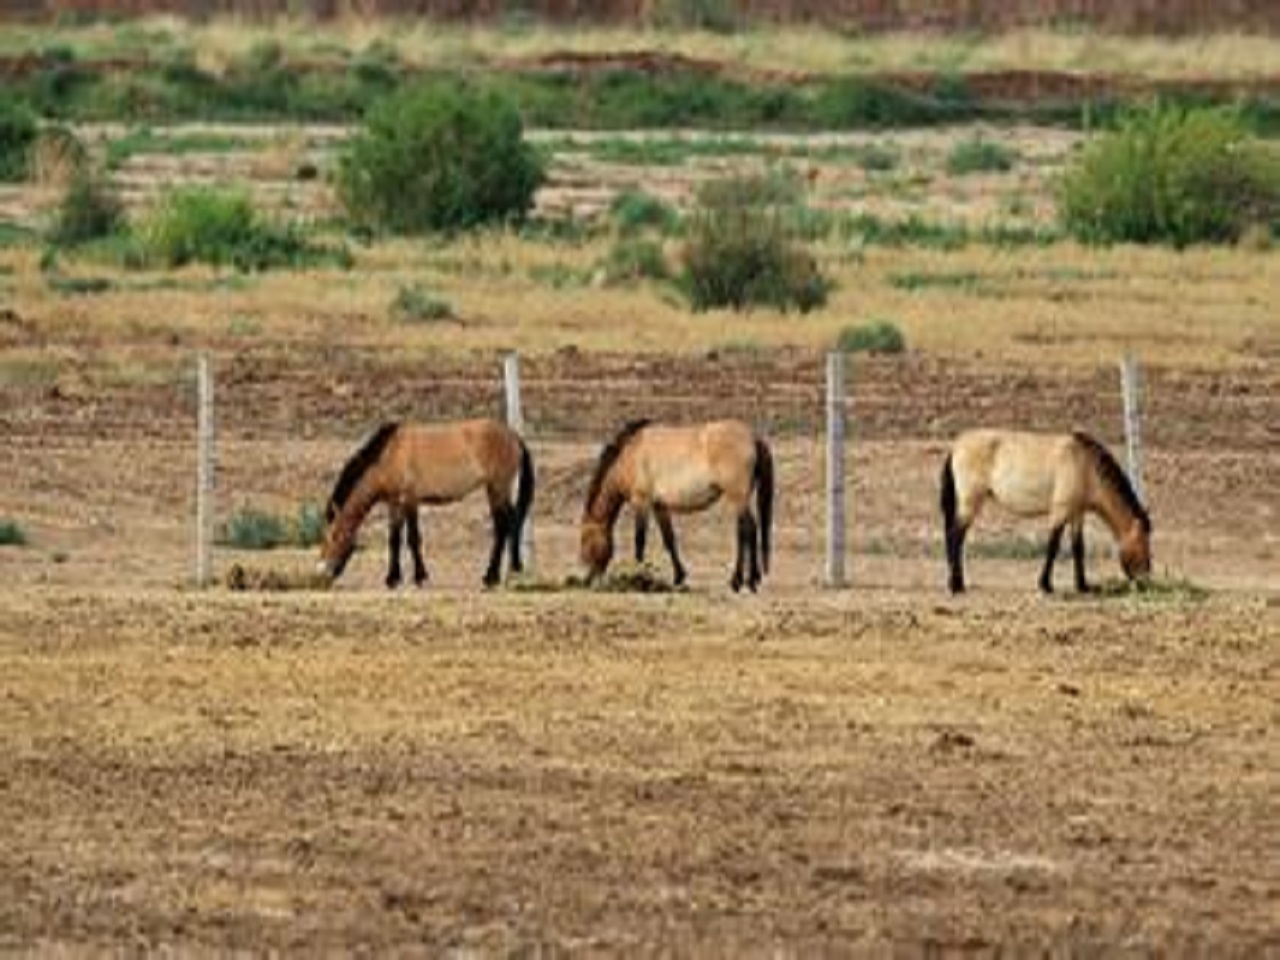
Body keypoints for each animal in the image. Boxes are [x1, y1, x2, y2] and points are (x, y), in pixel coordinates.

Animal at [325, 419, 540, 586]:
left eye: (334, 537)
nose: (326, 572)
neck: (390, 454)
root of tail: (513, 436)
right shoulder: (395, 503)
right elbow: (394, 539)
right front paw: (393, 578)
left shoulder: (410, 500)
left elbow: (413, 538)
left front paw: (420, 577)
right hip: (493, 490)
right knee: (506, 524)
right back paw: (504, 572)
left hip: (498, 488)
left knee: (507, 524)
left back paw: (496, 575)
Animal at [581, 419, 768, 593]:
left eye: (585, 541)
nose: (588, 580)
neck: (630, 455)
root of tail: (752, 437)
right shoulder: (659, 507)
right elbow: (669, 540)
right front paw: (679, 576)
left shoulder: (641, 502)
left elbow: (639, 541)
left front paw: (638, 577)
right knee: (751, 530)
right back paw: (752, 580)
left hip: (738, 498)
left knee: (746, 531)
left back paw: (740, 581)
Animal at [942, 427, 1152, 593]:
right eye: (1142, 542)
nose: (1145, 580)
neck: (1084, 465)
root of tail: (956, 446)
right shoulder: (1060, 511)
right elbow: (1053, 545)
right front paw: (1045, 585)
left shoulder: (1077, 513)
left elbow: (1078, 547)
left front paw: (1082, 585)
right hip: (970, 503)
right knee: (955, 537)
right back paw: (955, 585)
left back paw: (958, 582)